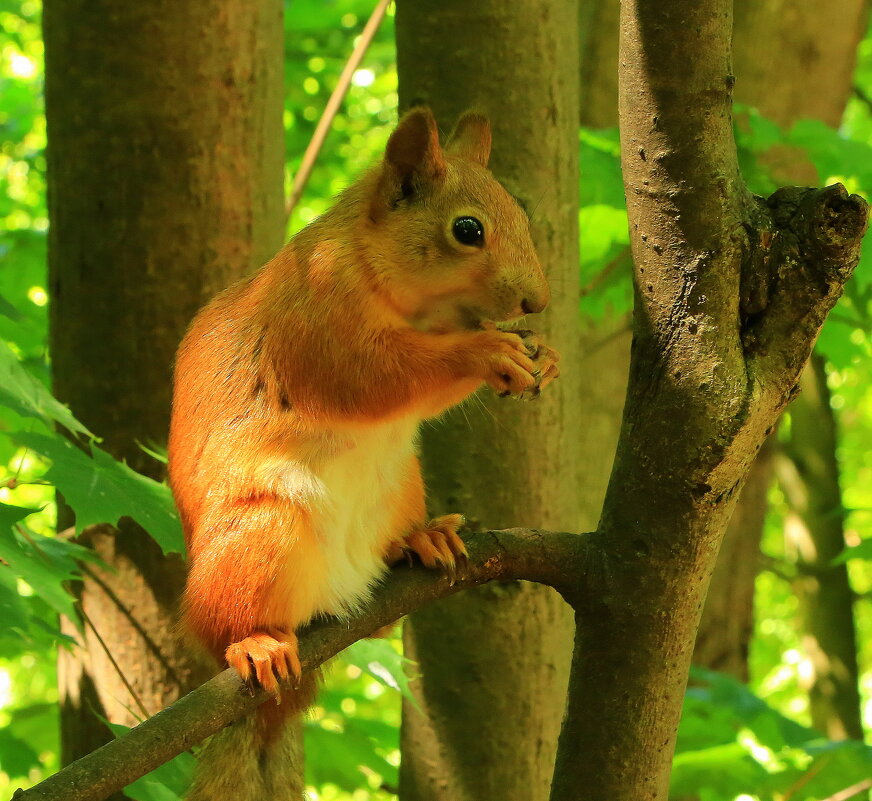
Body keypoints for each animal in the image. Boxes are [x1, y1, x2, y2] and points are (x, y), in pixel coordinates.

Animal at [166, 106, 560, 800]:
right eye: (467, 230)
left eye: (520, 211)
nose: (535, 302)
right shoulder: (317, 323)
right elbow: (379, 379)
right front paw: (487, 352)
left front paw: (544, 354)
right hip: (261, 531)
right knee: (220, 626)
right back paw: (254, 643)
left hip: (401, 484)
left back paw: (420, 540)